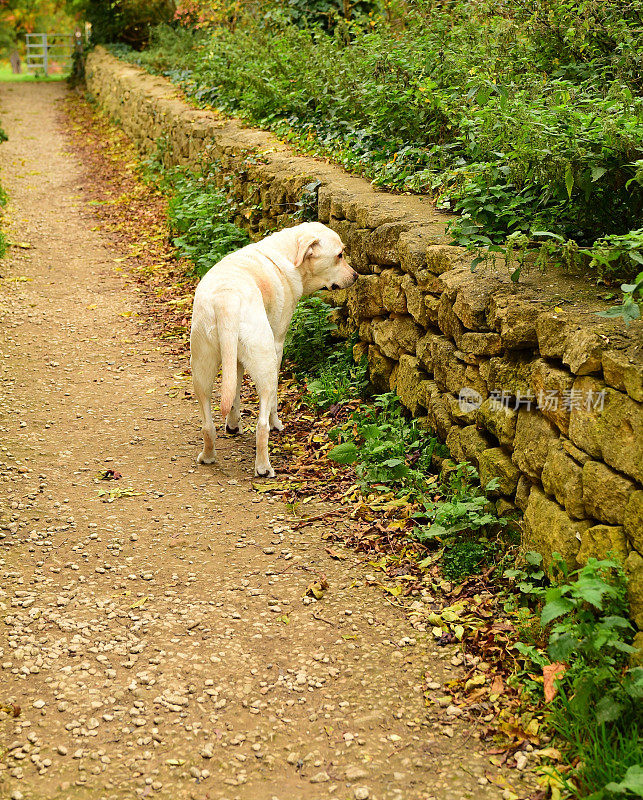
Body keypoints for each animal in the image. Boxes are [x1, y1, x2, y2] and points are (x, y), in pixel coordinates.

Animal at [191, 220, 358, 476]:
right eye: (339, 255)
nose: (357, 276)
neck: (288, 254)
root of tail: (226, 299)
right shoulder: (278, 344)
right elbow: (272, 403)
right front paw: (275, 422)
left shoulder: (235, 360)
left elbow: (235, 391)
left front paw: (233, 424)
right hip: (266, 363)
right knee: (261, 425)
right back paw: (263, 466)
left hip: (201, 370)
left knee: (208, 424)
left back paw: (208, 456)